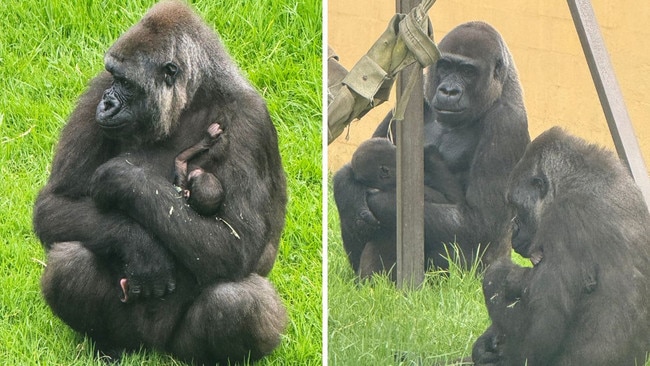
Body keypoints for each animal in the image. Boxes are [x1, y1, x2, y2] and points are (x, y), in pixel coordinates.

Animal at [32, 2, 286, 364]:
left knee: (238, 301)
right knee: (69, 261)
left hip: (177, 347)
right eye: (113, 76)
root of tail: (151, 349)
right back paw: (107, 345)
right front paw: (140, 245)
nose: (107, 103)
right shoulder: (95, 89)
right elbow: (54, 204)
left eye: (126, 82)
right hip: (133, 335)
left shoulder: (252, 120)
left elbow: (236, 243)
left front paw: (123, 178)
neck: (190, 100)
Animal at [332, 20, 528, 278]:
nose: (448, 91)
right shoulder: (421, 92)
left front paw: (379, 200)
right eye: (445, 66)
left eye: (468, 72)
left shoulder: (507, 124)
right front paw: (347, 188)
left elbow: (478, 223)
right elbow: (363, 155)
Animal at [470, 126, 648, 366]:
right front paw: (484, 345)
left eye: (516, 206)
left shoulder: (564, 218)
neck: (574, 181)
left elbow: (544, 329)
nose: (513, 227)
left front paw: (501, 277)